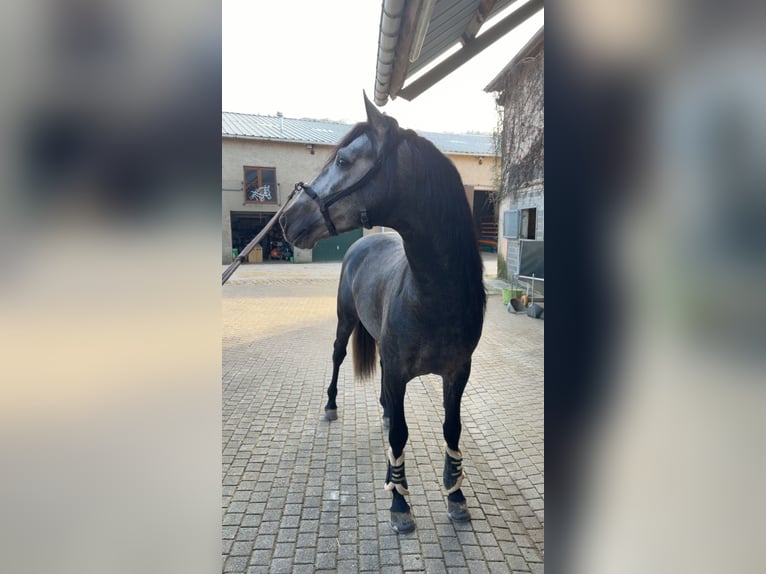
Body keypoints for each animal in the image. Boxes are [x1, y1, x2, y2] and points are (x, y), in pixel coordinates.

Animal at [280, 94, 486, 533]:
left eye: (343, 161)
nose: (288, 218)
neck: (432, 297)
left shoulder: (457, 373)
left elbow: (452, 430)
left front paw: (455, 496)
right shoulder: (396, 371)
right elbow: (400, 438)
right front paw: (399, 503)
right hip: (345, 323)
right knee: (338, 357)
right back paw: (331, 406)